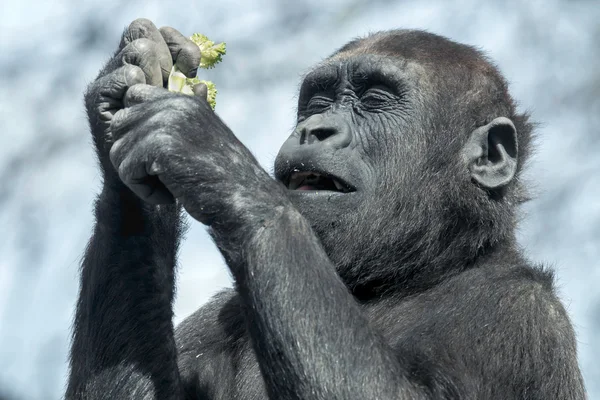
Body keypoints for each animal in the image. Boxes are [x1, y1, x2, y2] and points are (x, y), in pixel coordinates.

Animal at [65, 18, 584, 400]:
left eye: (375, 100)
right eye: (317, 102)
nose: (316, 129)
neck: (417, 268)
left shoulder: (522, 318)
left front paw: (210, 156)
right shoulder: (212, 320)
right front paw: (130, 79)